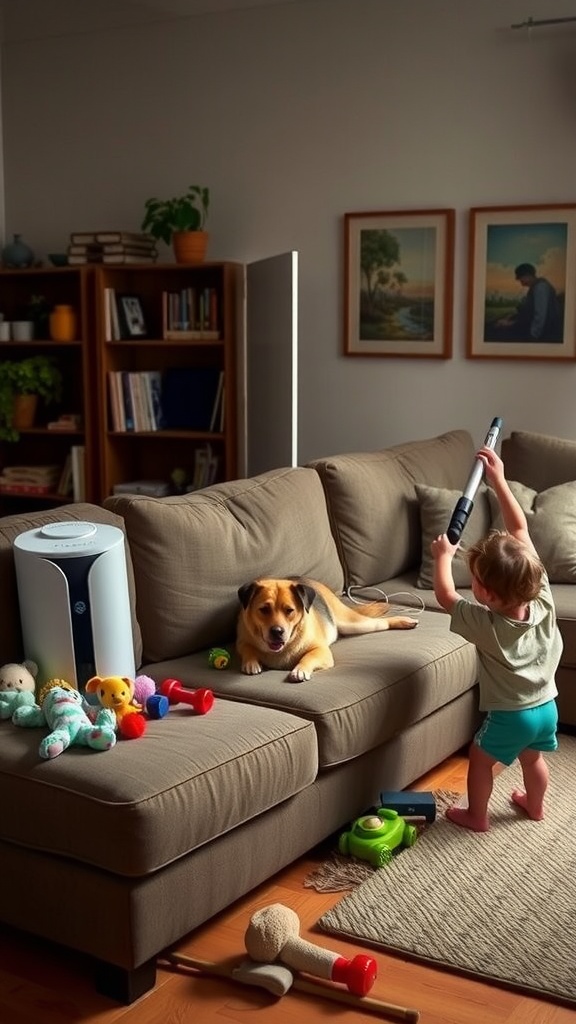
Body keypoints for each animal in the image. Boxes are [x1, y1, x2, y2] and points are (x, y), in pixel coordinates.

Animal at [235, 577, 414, 679]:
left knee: (380, 622)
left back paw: (403, 621)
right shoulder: (242, 640)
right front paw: (251, 663)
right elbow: (247, 648)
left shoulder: (321, 651)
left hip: (353, 623)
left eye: (289, 610)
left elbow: (309, 656)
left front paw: (300, 670)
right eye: (264, 609)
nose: (277, 632)